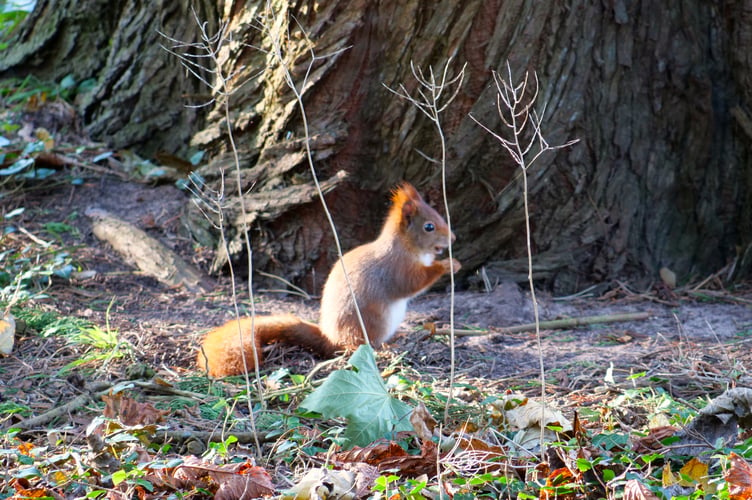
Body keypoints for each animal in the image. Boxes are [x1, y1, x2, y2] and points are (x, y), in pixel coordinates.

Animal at [197, 182, 458, 376]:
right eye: (429, 226)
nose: (453, 239)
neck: (406, 246)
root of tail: (329, 338)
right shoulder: (396, 268)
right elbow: (413, 282)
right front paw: (449, 265)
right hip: (369, 322)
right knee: (354, 346)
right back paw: (384, 348)